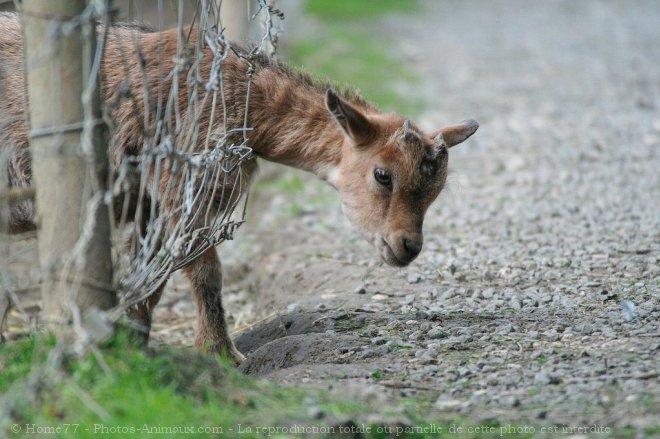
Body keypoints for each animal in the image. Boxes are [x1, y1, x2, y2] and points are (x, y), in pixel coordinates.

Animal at [0, 13, 476, 364]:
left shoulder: (151, 205)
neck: (240, 101)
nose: (407, 246)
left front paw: (133, 344)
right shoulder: (183, 185)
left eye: (436, 189)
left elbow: (150, 274)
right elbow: (204, 271)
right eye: (382, 174)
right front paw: (222, 354)